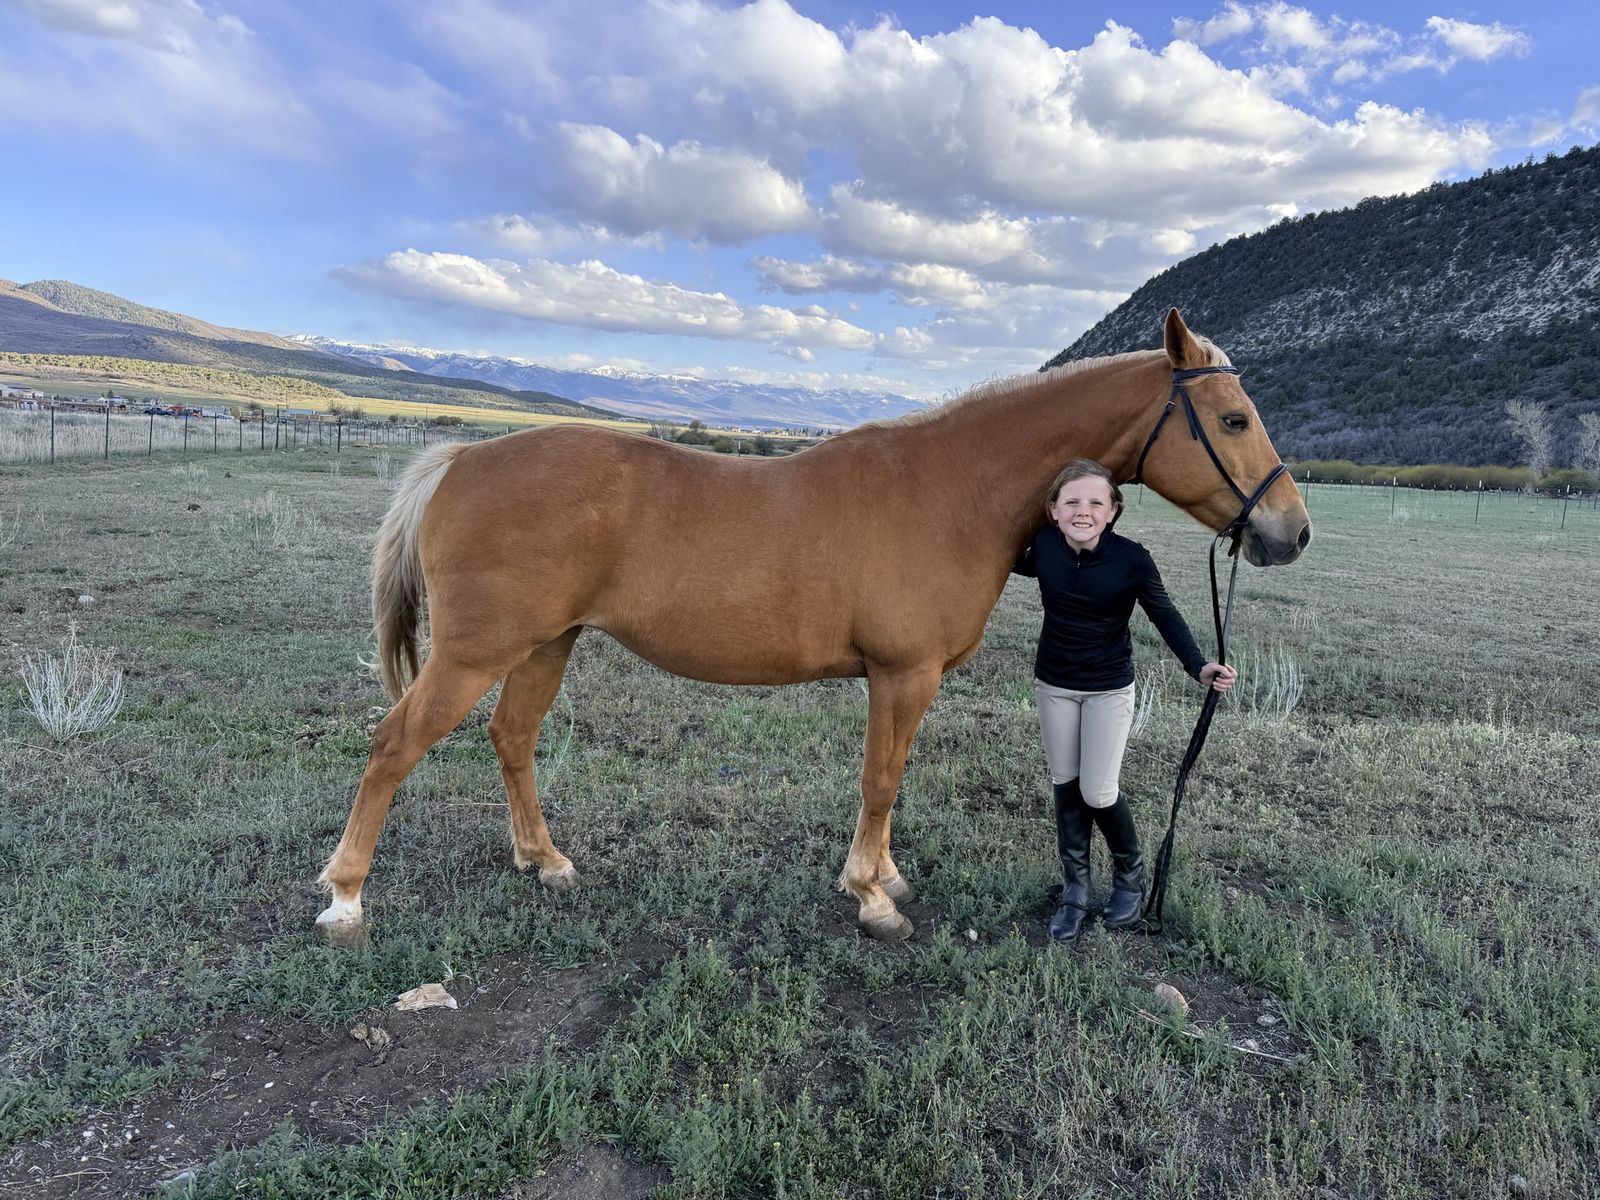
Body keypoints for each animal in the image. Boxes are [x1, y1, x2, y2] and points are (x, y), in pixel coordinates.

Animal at [315, 309, 1311, 945]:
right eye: (1233, 418)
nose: (1290, 532)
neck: (947, 489)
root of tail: (463, 457)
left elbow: (889, 783)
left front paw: (882, 875)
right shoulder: (902, 674)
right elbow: (881, 780)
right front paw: (872, 897)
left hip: (542, 646)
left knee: (512, 738)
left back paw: (545, 860)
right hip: (477, 651)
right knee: (394, 744)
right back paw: (346, 898)